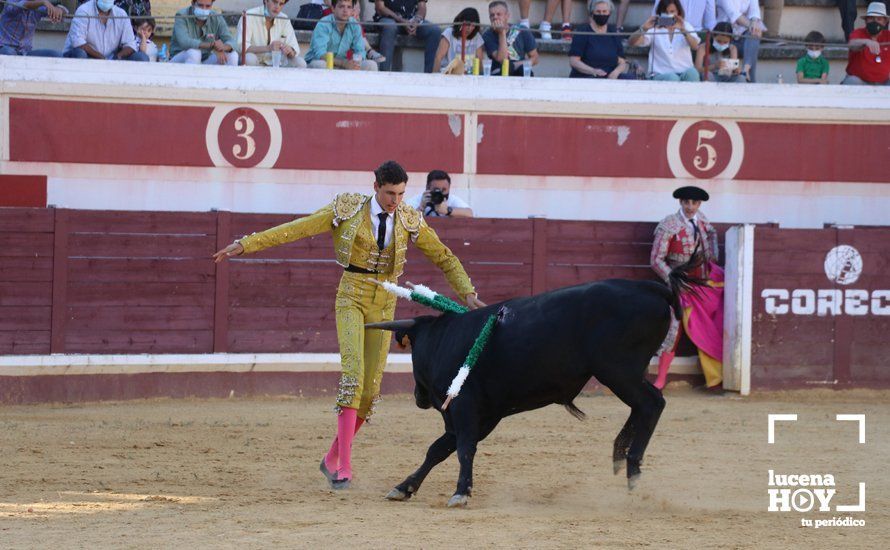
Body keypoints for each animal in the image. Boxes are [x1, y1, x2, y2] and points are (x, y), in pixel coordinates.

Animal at [362, 258, 700, 508]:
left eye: (412, 351)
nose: (418, 398)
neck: (442, 339)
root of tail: (649, 287)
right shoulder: (482, 416)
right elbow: (438, 449)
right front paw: (404, 487)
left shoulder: (463, 408)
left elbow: (463, 448)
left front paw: (460, 493)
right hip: (624, 374)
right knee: (642, 407)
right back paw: (620, 455)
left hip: (618, 371)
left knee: (652, 403)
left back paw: (632, 468)